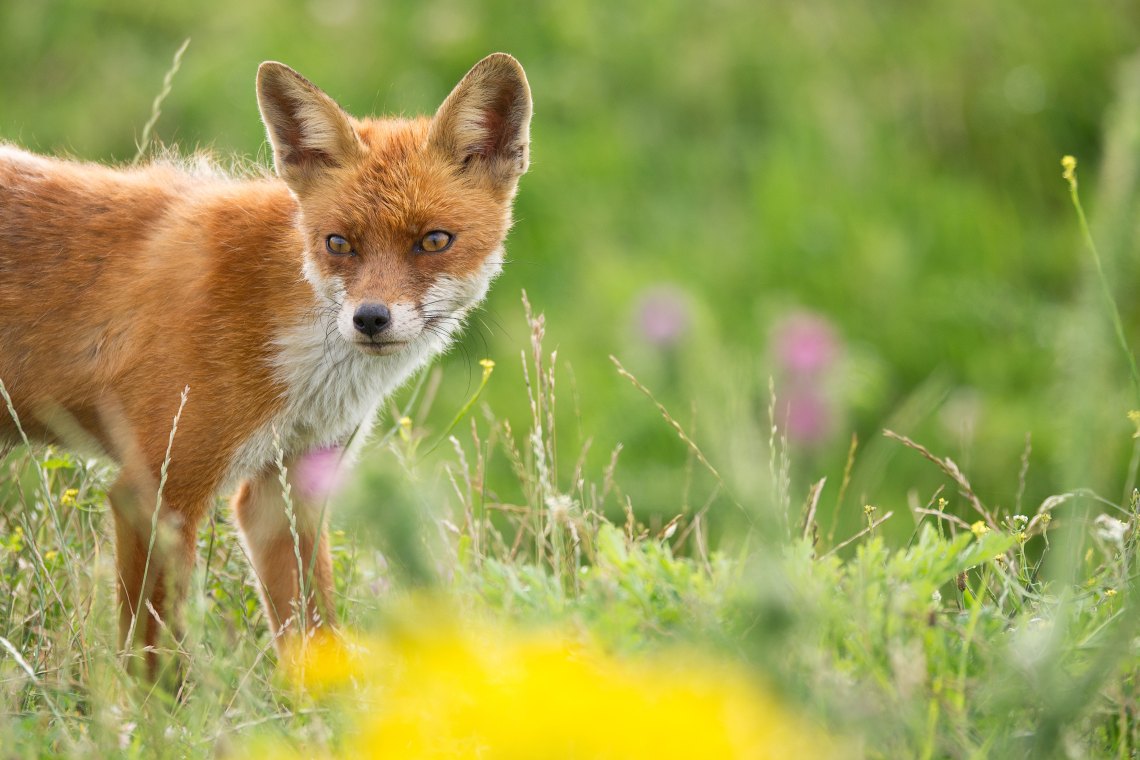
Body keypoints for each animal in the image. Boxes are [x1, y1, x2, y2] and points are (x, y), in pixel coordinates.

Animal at [0, 53, 531, 669]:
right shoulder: (155, 492)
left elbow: (314, 633)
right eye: (338, 244)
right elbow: (155, 658)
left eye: (434, 241)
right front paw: (151, 700)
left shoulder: (287, 491)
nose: (370, 319)